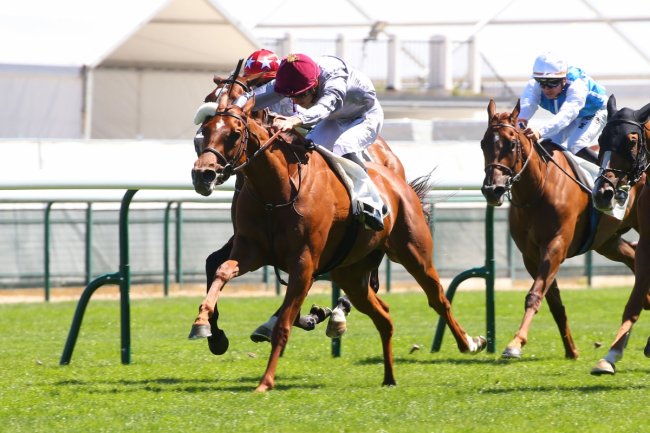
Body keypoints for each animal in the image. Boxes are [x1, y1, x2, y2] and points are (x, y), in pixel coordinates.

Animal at [188, 74, 486, 392]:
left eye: (234, 133)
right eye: (205, 129)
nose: (203, 174)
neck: (277, 191)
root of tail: (399, 184)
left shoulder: (304, 263)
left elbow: (284, 323)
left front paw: (266, 381)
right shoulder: (250, 250)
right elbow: (220, 270)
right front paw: (204, 325)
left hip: (414, 253)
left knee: (438, 298)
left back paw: (469, 343)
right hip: (351, 273)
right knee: (384, 315)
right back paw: (389, 376)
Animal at [480, 98, 641, 360]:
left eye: (511, 144)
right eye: (483, 143)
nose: (492, 189)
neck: (538, 190)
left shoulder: (556, 246)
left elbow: (535, 293)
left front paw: (515, 342)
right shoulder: (530, 255)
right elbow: (553, 301)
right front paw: (571, 349)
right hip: (607, 242)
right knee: (635, 259)